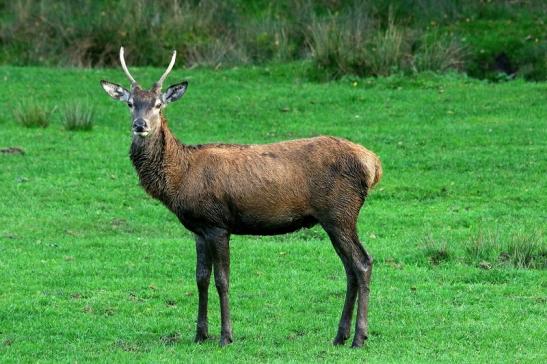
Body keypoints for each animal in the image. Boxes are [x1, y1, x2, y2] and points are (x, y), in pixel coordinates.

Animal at [100, 47, 384, 348]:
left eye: (158, 105)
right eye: (130, 103)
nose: (140, 125)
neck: (180, 178)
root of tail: (374, 164)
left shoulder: (217, 223)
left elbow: (222, 280)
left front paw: (226, 336)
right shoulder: (198, 229)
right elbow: (201, 278)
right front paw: (200, 334)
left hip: (340, 213)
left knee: (362, 263)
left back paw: (359, 337)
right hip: (336, 218)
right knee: (350, 268)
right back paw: (340, 336)